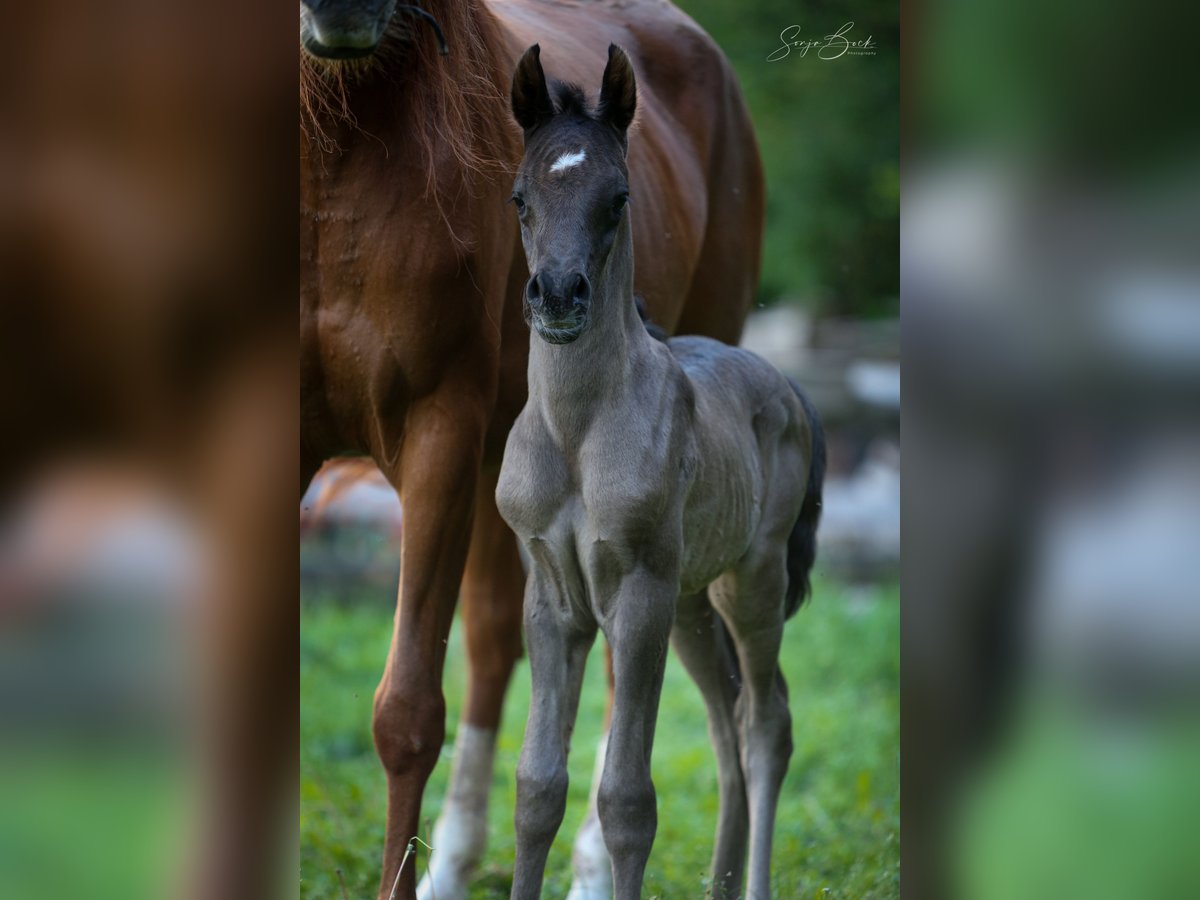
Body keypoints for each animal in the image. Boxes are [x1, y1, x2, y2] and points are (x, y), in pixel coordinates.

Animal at [302, 3, 768, 897]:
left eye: (619, 200)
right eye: (515, 197)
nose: (341, 11)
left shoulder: (440, 438)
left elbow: (408, 709)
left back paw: (589, 871)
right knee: (493, 641)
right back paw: (452, 865)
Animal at [496, 44, 825, 900]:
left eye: (617, 198)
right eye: (519, 197)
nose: (558, 295)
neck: (576, 432)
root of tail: (789, 385)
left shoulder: (636, 592)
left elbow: (626, 798)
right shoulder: (552, 600)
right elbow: (537, 786)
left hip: (750, 582)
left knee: (766, 723)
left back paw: (754, 884)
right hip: (690, 606)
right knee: (725, 723)